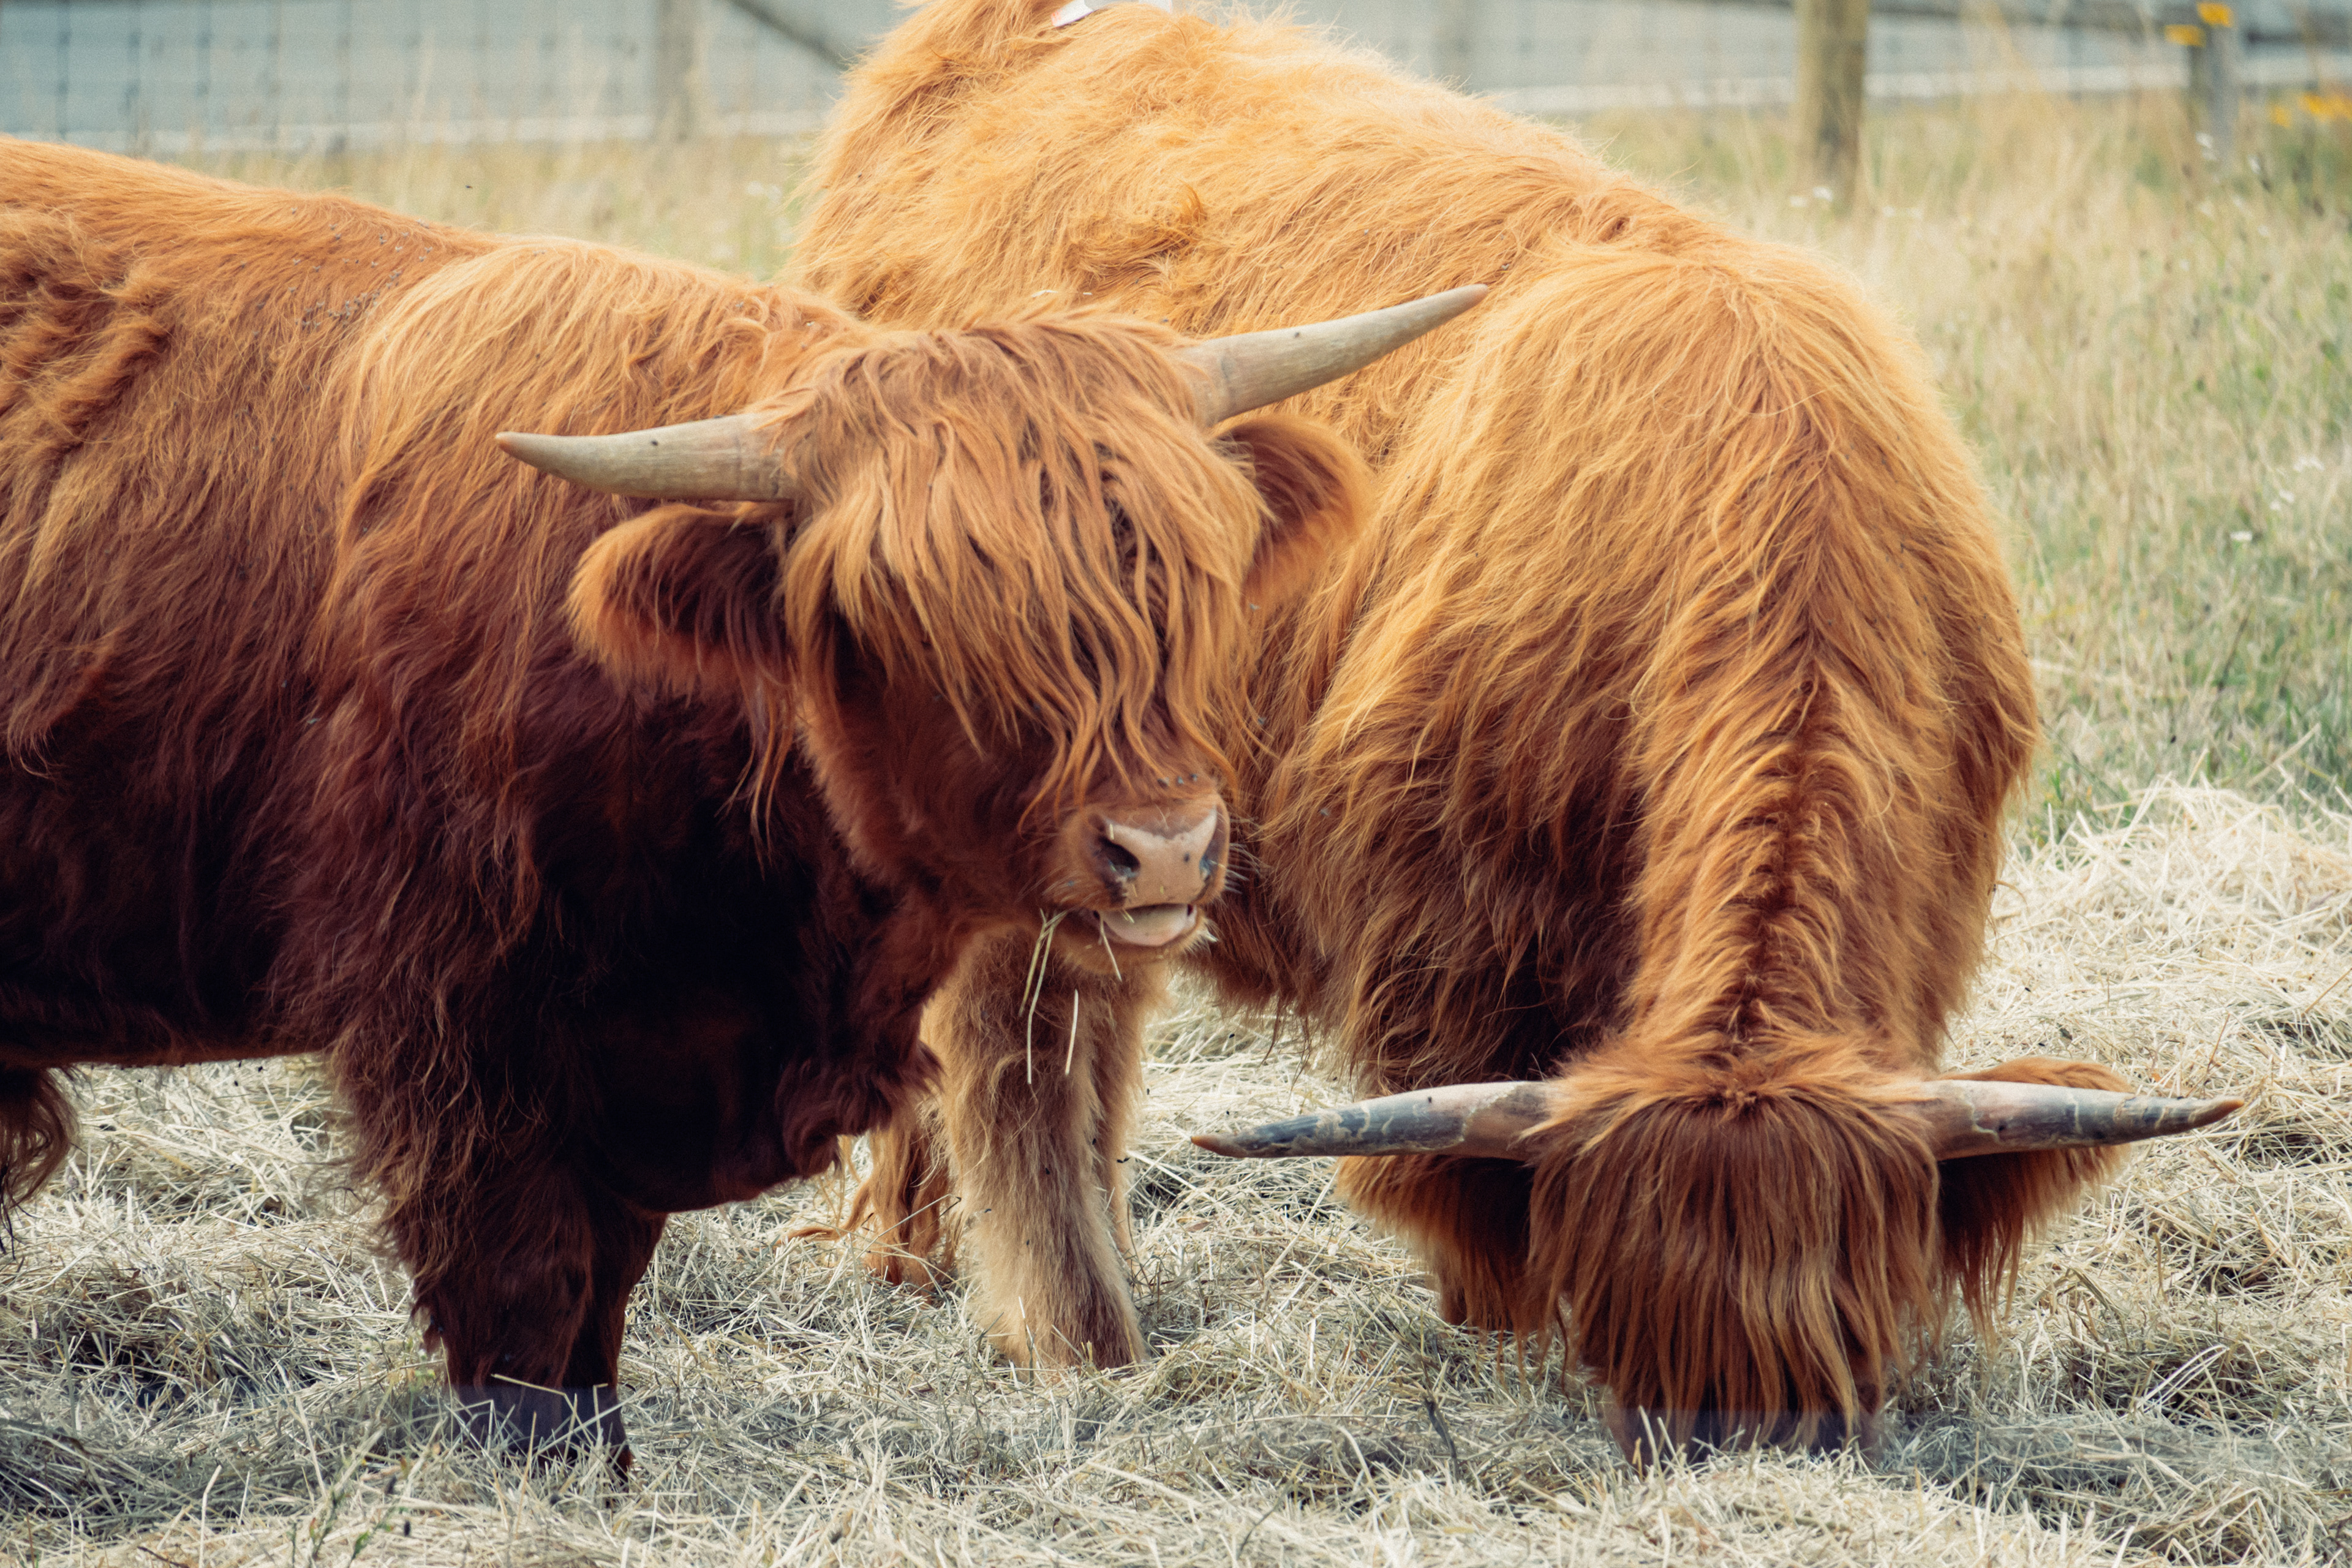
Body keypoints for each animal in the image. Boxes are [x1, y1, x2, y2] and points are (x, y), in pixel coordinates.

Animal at [0, 139, 1483, 1461]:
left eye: (1190, 581)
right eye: (911, 619)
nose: (1165, 851)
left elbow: (596, 1300)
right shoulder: (454, 1023)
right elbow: (523, 1299)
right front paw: (546, 1473)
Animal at [791, 0, 2241, 1455]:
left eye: (1838, 1358)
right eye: (1634, 1358)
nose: (1727, 1446)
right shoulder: (1454, 927)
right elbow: (1468, 1161)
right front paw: (1490, 1324)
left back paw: (939, 1262)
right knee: (1018, 1038)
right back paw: (1067, 1333)